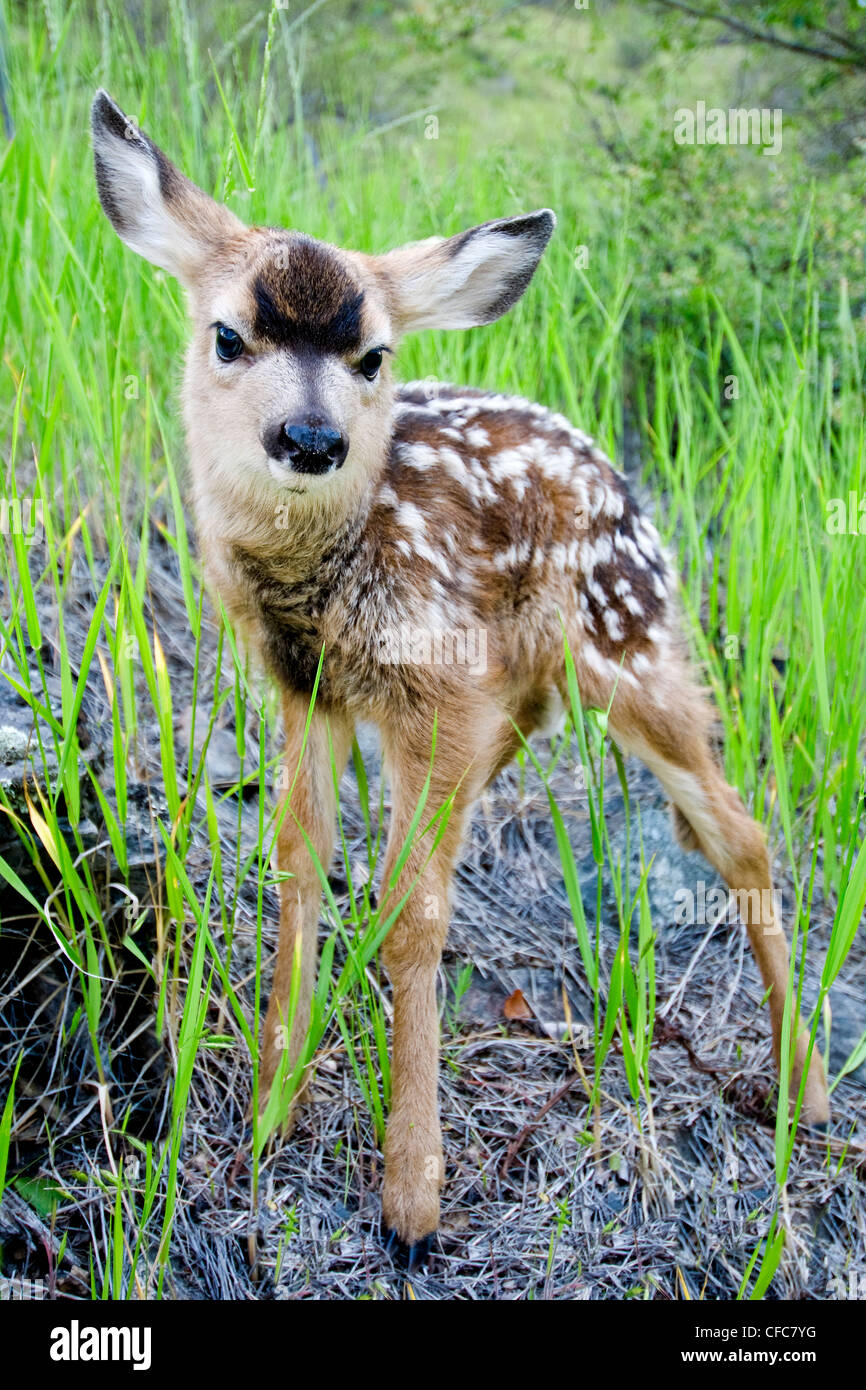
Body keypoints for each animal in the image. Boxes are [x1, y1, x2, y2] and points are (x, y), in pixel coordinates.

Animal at [91, 90, 829, 1265]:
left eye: (373, 356)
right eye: (226, 335)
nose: (311, 437)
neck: (332, 571)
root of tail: (623, 486)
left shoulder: (428, 685)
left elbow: (414, 910)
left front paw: (412, 1197)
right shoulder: (307, 686)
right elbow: (300, 859)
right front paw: (269, 1107)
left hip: (628, 643)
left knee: (741, 834)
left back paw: (807, 1095)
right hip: (523, 680)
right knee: (530, 758)